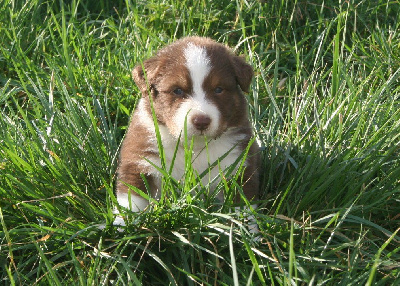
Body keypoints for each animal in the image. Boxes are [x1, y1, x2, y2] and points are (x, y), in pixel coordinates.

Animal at [115, 36, 260, 230]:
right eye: (177, 90)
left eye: (218, 89)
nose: (201, 121)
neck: (194, 147)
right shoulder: (139, 160)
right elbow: (132, 200)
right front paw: (121, 227)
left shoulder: (239, 164)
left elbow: (242, 205)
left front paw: (246, 230)